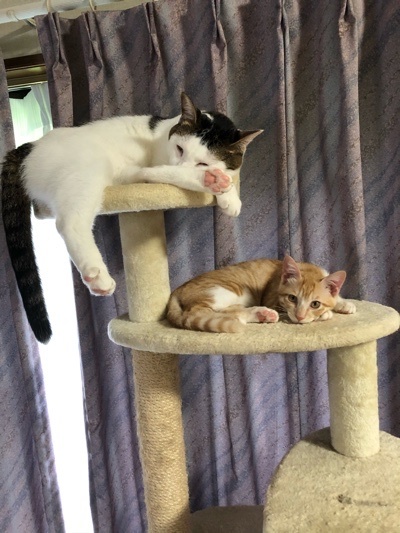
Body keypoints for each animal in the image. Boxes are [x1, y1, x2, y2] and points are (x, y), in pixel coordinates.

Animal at [1, 92, 262, 343]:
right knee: (70, 221)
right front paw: (216, 184)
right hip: (88, 171)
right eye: (180, 149)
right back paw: (98, 276)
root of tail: (28, 146)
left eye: (203, 160)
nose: (190, 166)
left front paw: (230, 198)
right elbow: (174, 172)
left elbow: (228, 176)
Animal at [166, 255, 356, 332]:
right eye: (292, 298)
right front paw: (325, 314)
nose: (300, 316)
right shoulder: (272, 299)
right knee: (199, 312)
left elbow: (336, 298)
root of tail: (177, 289)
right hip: (231, 289)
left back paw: (261, 314)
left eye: (315, 303)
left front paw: (344, 303)